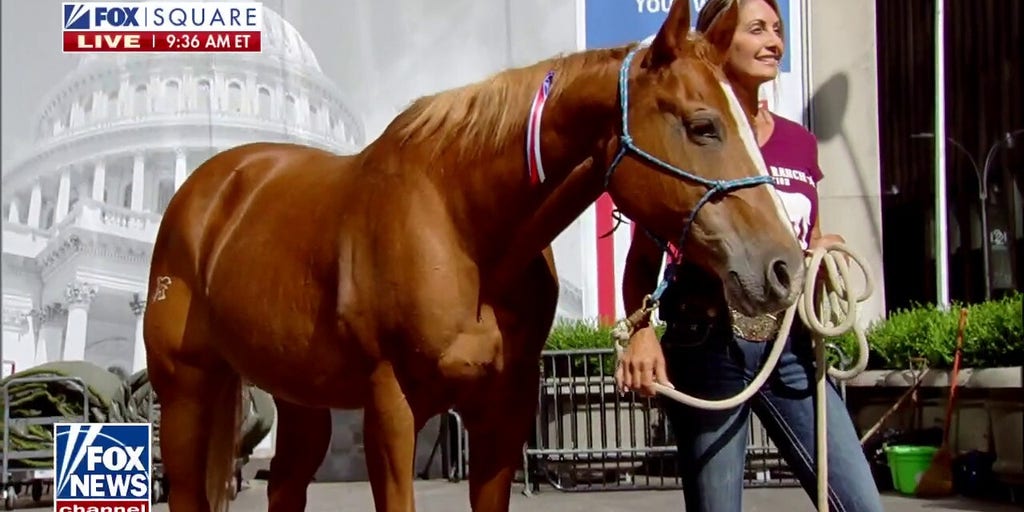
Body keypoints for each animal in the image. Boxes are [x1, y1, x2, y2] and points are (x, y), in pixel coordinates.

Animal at [142, 1, 805, 510]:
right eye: (702, 125)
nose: (785, 267)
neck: (461, 227)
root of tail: (209, 189)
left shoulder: (503, 413)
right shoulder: (392, 408)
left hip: (299, 398)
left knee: (284, 486)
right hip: (185, 389)